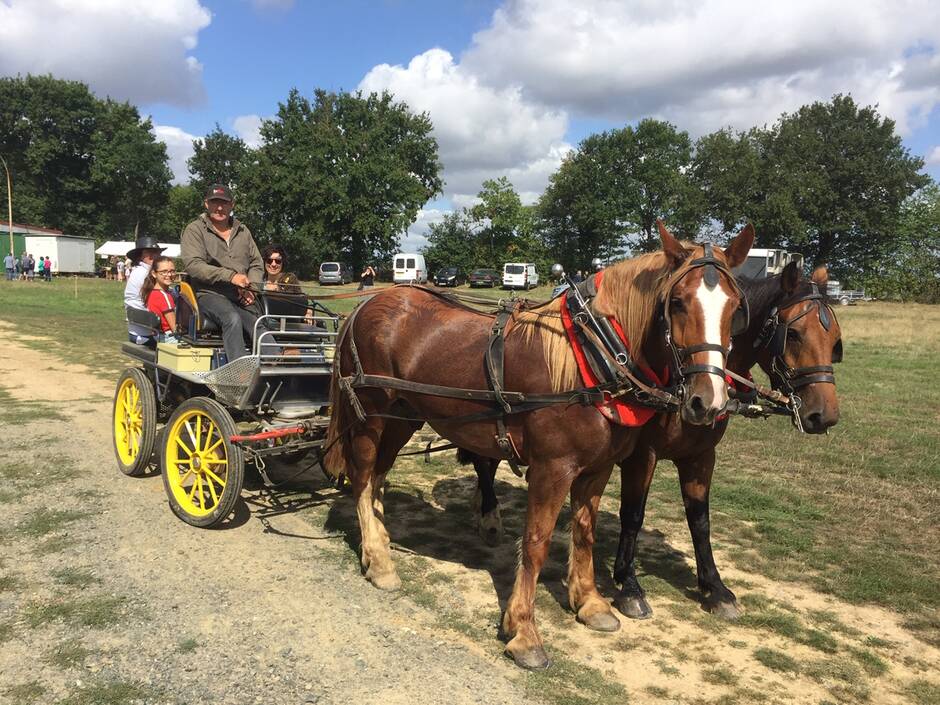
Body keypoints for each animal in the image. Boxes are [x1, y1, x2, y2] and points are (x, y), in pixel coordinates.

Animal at [324, 223, 756, 668]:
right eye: (678, 302)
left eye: (735, 307)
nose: (709, 401)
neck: (593, 356)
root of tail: (365, 306)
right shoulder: (553, 468)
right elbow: (536, 542)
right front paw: (524, 631)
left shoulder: (598, 467)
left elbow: (584, 531)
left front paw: (591, 603)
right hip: (372, 417)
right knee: (362, 477)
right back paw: (379, 562)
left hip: (404, 417)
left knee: (378, 476)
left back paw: (378, 542)